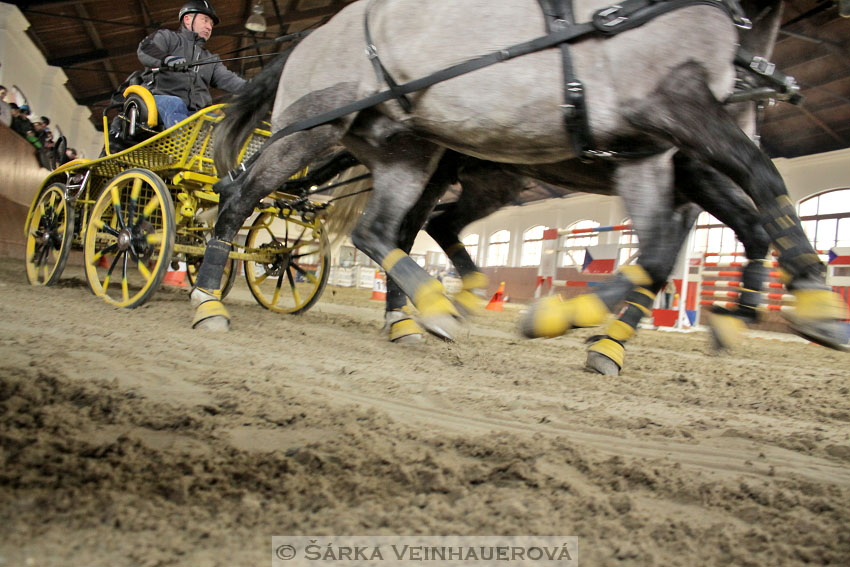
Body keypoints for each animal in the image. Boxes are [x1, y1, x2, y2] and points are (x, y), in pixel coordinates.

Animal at [197, 0, 840, 356]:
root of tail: (310, 37)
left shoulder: (658, 154)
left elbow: (677, 246)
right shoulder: (679, 120)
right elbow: (760, 185)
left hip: (419, 154)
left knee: (389, 231)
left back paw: (428, 309)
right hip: (314, 129)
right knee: (241, 197)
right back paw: (207, 299)